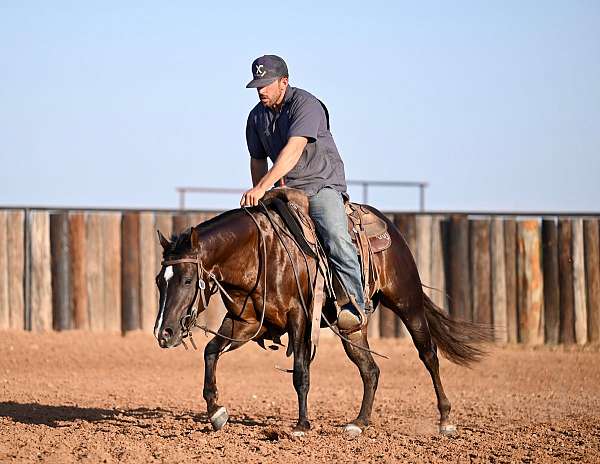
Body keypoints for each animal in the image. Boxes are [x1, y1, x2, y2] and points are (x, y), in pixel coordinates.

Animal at [154, 202, 492, 436]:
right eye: (160, 280)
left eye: (187, 279)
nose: (164, 332)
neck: (259, 252)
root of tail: (390, 230)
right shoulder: (245, 322)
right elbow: (210, 352)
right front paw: (216, 411)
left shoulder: (300, 319)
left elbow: (300, 372)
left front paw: (302, 424)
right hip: (352, 327)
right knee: (370, 370)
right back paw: (359, 422)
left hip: (407, 302)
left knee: (428, 354)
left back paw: (445, 420)